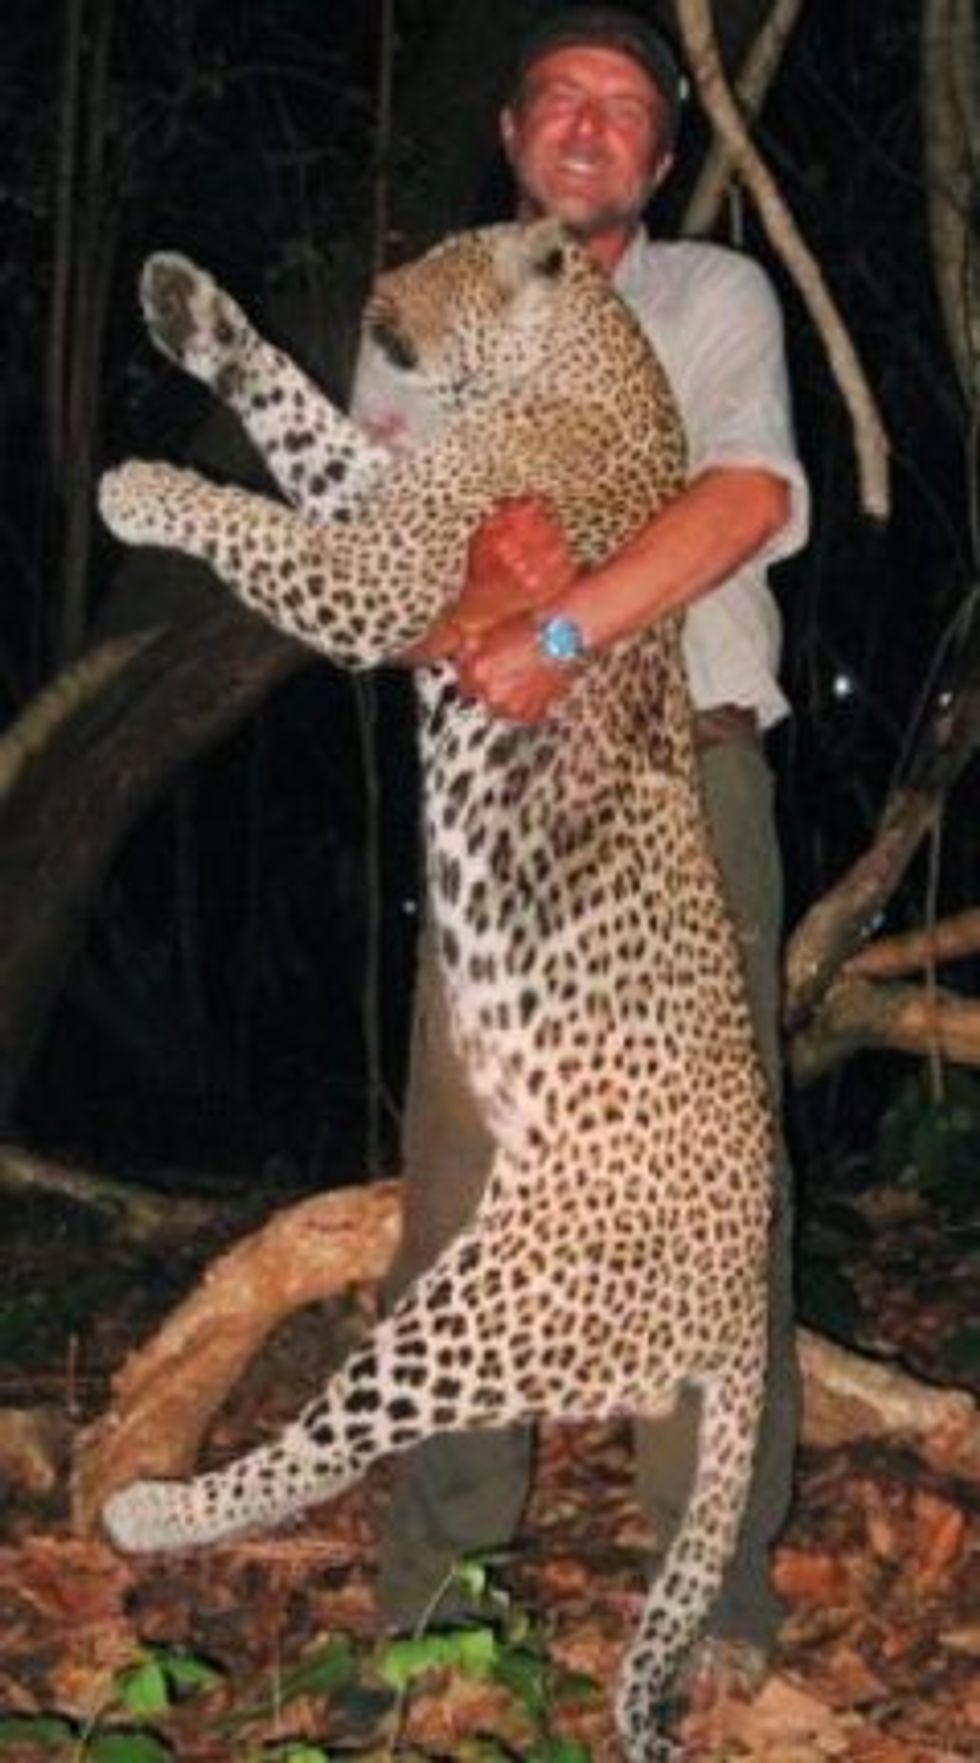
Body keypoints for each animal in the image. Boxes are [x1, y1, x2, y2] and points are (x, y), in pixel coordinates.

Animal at [98, 218, 774, 1763]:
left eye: (440, 260)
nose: (369, 296)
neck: (583, 359)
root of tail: (744, 1309)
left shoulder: (397, 575)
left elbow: (267, 525)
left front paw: (146, 490)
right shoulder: (386, 498)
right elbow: (299, 424)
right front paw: (188, 308)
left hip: (473, 1311)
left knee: (326, 1438)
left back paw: (149, 1508)